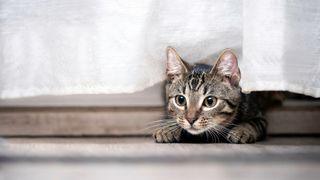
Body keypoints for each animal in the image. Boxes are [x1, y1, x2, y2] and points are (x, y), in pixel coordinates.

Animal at [152, 47, 280, 144]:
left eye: (210, 101)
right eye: (180, 100)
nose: (190, 119)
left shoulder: (259, 116)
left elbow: (253, 123)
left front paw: (242, 130)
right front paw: (167, 129)